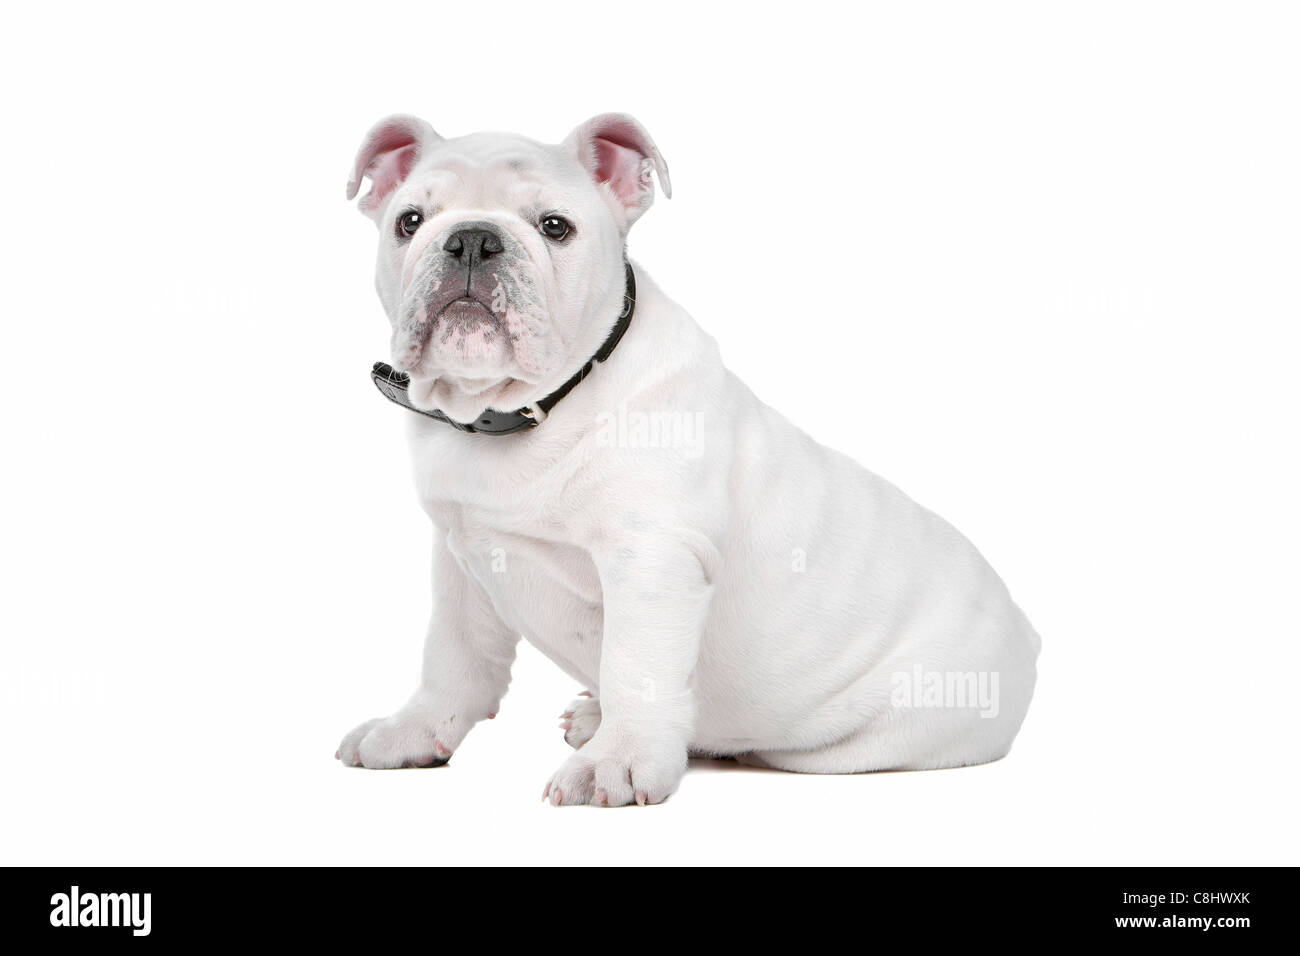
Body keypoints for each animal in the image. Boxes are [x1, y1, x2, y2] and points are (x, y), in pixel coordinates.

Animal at [335, 111, 1034, 806]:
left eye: (555, 227)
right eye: (410, 221)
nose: (472, 240)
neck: (523, 411)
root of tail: (1028, 636)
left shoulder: (652, 561)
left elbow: (636, 665)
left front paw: (615, 761)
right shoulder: (461, 560)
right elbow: (452, 656)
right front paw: (412, 731)